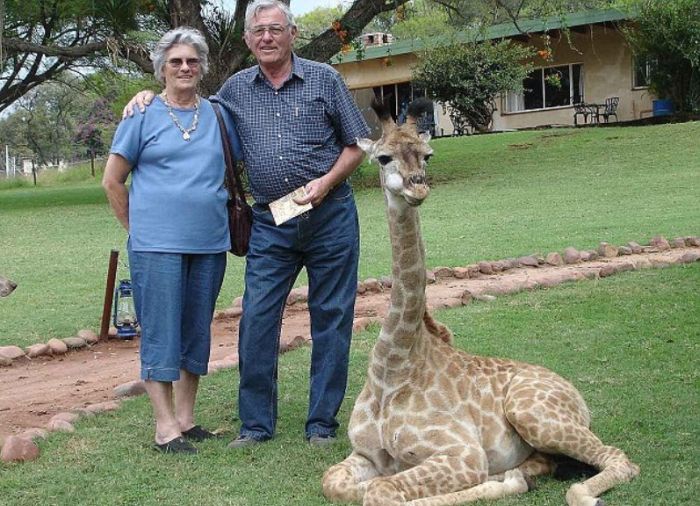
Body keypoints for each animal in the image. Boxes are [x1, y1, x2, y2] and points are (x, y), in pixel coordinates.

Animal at [322, 99, 640, 506]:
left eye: (427, 154)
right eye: (383, 157)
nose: (417, 187)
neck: (393, 367)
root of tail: (576, 395)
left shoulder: (463, 453)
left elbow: (380, 492)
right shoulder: (364, 454)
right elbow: (337, 483)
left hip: (534, 415)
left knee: (618, 459)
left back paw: (579, 492)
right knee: (543, 465)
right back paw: (517, 477)